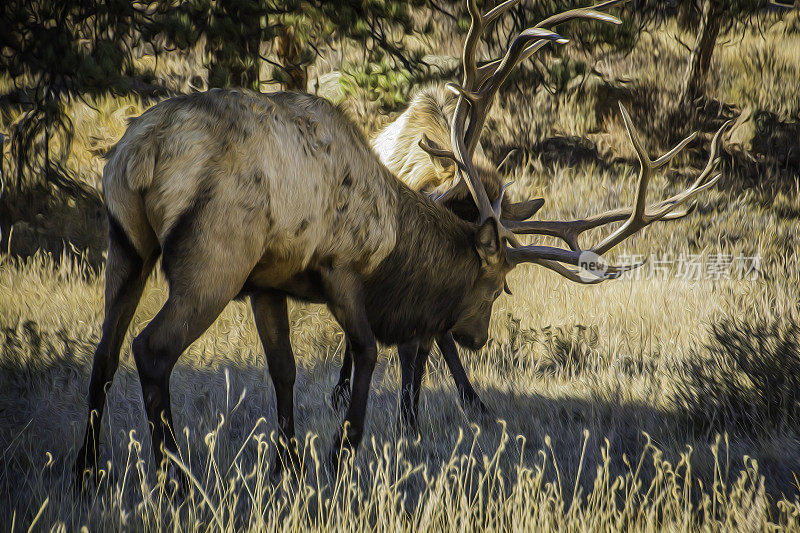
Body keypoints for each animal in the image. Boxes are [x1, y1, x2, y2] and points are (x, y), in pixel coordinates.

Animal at [78, 0, 728, 484]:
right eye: (499, 284)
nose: (477, 336)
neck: (397, 237)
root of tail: (142, 153)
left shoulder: (269, 283)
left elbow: (284, 370)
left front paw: (290, 466)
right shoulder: (340, 269)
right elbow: (367, 352)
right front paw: (340, 455)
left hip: (125, 247)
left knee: (104, 352)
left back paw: (88, 472)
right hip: (212, 260)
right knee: (151, 349)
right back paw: (174, 481)